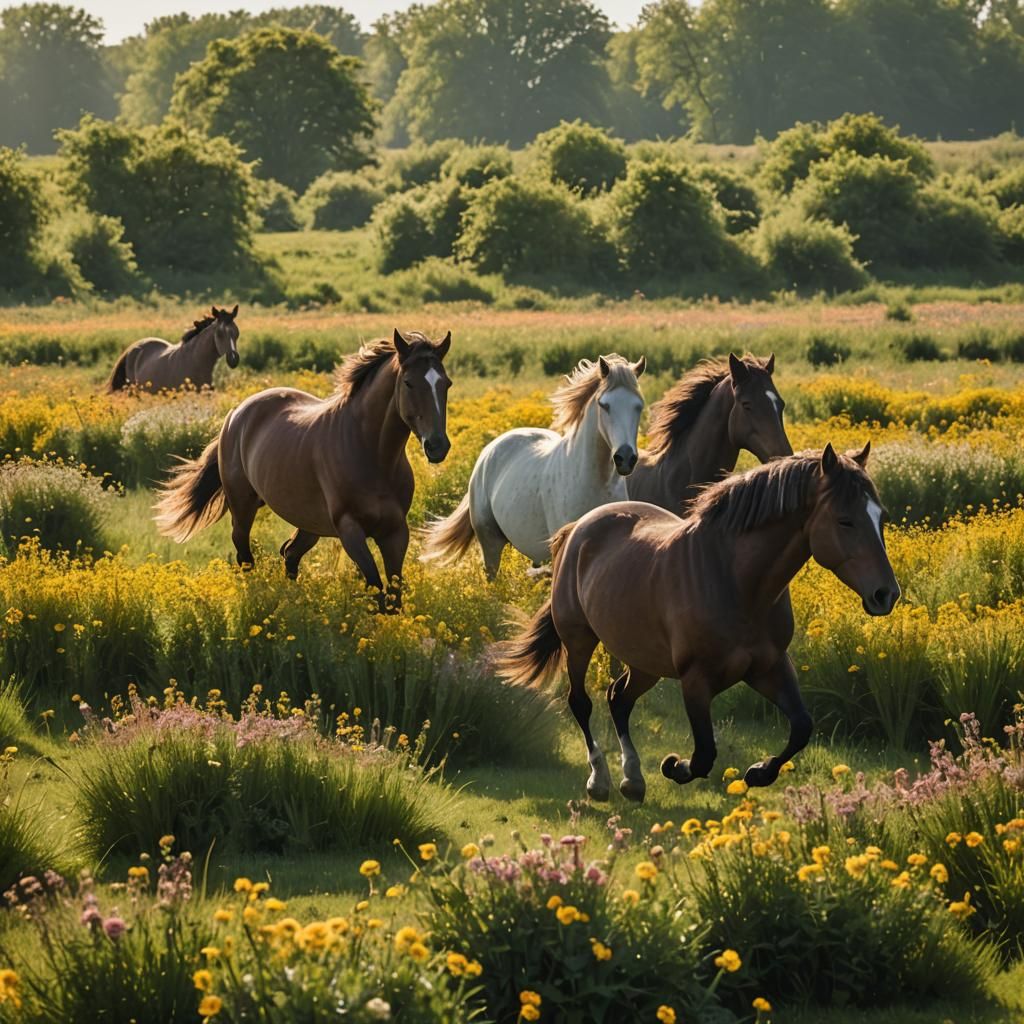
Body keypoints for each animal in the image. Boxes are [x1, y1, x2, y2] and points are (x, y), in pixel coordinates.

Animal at [154, 329, 452, 610]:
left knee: (290, 554)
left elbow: (393, 595)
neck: (372, 454)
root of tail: (236, 414)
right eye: (409, 382)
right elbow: (375, 587)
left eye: (446, 384)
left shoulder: (396, 532)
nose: (437, 446)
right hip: (242, 507)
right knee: (245, 555)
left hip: (309, 524)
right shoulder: (350, 530)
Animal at [421, 354, 646, 578]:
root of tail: (489, 450)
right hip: (490, 542)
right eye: (604, 405)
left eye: (639, 406)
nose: (625, 458)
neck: (595, 480)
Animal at [494, 443, 899, 804]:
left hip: (644, 662)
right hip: (579, 640)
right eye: (845, 520)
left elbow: (801, 726)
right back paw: (601, 780)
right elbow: (704, 755)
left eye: (880, 517)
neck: (736, 582)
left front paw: (759, 772)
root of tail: (578, 527)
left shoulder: (769, 666)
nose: (886, 594)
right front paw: (675, 766)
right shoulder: (696, 679)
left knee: (618, 699)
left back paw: (633, 779)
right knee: (581, 702)